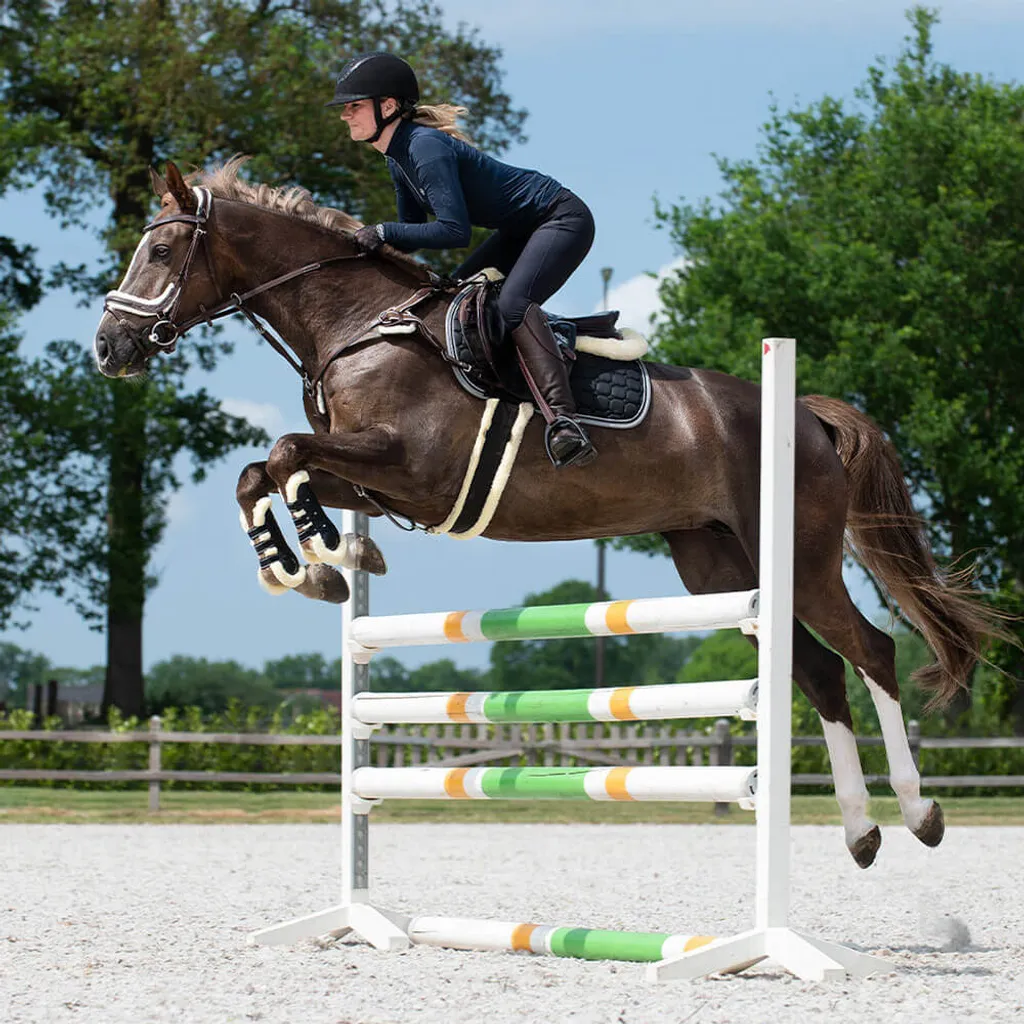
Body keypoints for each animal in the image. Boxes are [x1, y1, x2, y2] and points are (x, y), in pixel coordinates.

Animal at [94, 158, 1004, 868]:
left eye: (163, 249)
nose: (109, 348)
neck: (358, 325)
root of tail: (808, 415)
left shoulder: (412, 467)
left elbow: (283, 454)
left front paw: (321, 555)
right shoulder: (383, 482)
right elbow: (259, 470)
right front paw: (315, 563)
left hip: (801, 558)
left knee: (870, 650)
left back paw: (919, 815)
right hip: (720, 566)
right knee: (815, 670)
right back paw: (859, 832)